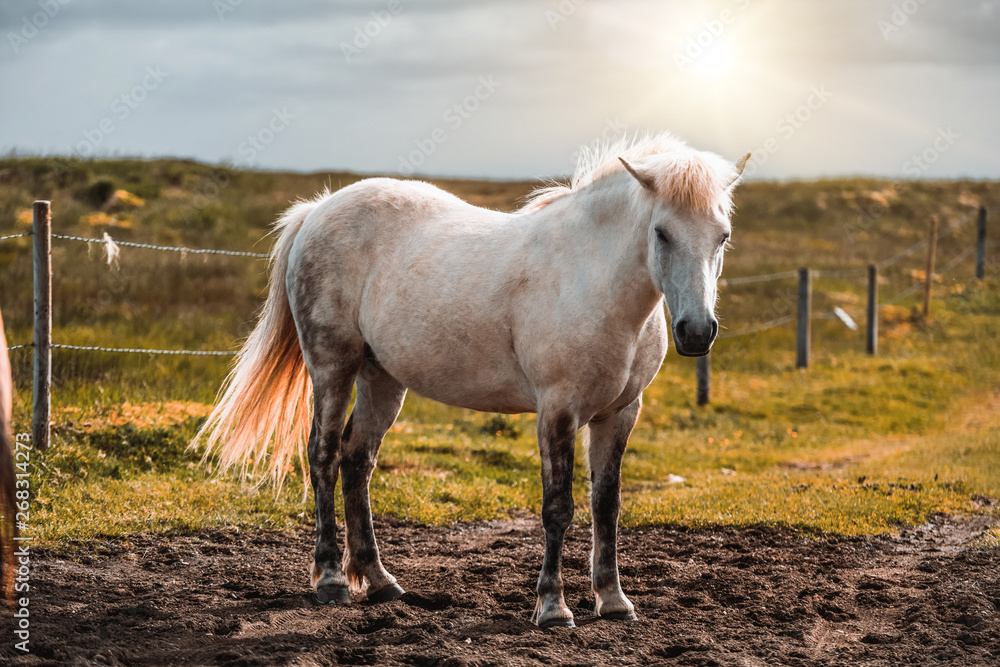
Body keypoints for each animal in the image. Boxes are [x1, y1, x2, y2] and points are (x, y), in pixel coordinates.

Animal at [195, 133, 748, 628]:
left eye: (722, 235)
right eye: (662, 233)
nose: (697, 331)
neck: (591, 279)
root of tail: (318, 209)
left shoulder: (619, 414)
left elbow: (605, 506)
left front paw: (613, 602)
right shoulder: (558, 411)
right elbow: (559, 508)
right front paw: (553, 609)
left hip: (382, 379)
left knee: (357, 461)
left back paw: (379, 581)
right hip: (333, 368)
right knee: (324, 457)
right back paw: (332, 580)